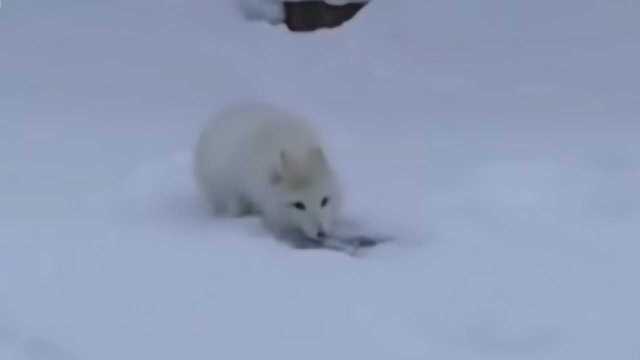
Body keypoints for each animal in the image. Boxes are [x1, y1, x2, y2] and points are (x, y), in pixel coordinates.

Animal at [194, 102, 342, 242]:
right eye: (299, 205)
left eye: (324, 201)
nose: (322, 234)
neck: (295, 148)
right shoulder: (236, 190)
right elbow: (236, 208)